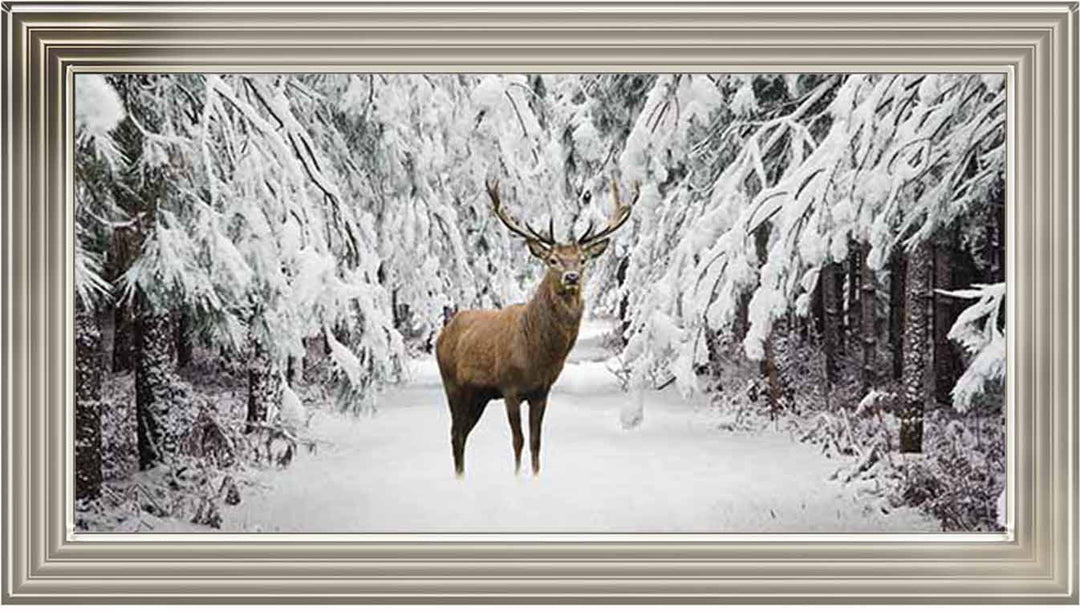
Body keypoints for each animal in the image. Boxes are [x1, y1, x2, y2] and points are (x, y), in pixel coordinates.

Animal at [435, 178, 637, 477]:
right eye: (552, 260)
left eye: (582, 259)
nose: (571, 277)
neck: (537, 354)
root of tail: (444, 332)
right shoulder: (509, 387)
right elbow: (518, 440)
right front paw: (518, 478)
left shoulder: (541, 391)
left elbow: (536, 441)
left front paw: (536, 476)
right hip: (453, 384)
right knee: (455, 433)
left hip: (478, 395)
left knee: (462, 433)